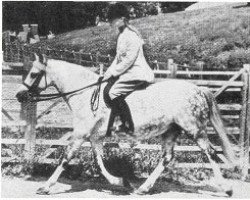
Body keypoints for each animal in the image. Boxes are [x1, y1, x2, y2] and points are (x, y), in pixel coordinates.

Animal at [16, 54, 236, 196]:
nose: (19, 95)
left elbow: (65, 158)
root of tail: (198, 89)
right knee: (166, 158)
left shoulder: (81, 133)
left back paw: (226, 188)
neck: (85, 93)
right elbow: (98, 162)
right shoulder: (95, 136)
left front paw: (45, 187)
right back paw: (143, 188)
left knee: (210, 153)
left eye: (34, 74)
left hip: (194, 129)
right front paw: (121, 182)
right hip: (170, 131)